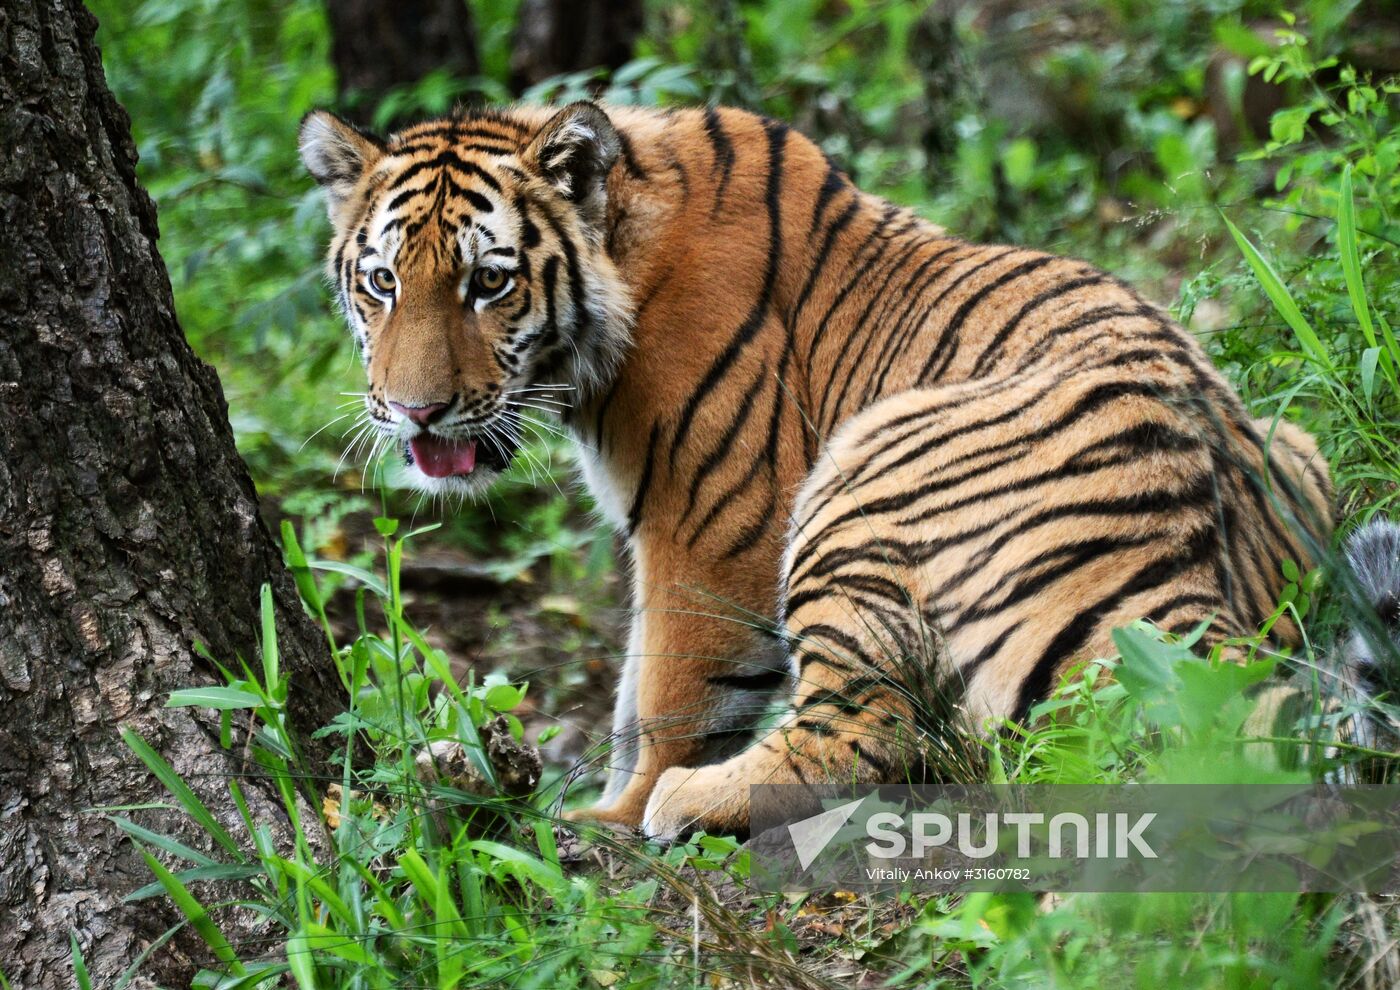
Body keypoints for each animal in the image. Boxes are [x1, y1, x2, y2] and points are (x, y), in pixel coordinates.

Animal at [298, 100, 1397, 842]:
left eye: (489, 282)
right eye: (382, 282)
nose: (414, 412)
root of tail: (1193, 548)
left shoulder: (708, 528)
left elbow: (663, 693)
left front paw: (613, 812)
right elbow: (629, 690)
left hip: (858, 475)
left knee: (876, 732)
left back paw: (685, 804)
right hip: (1291, 451)